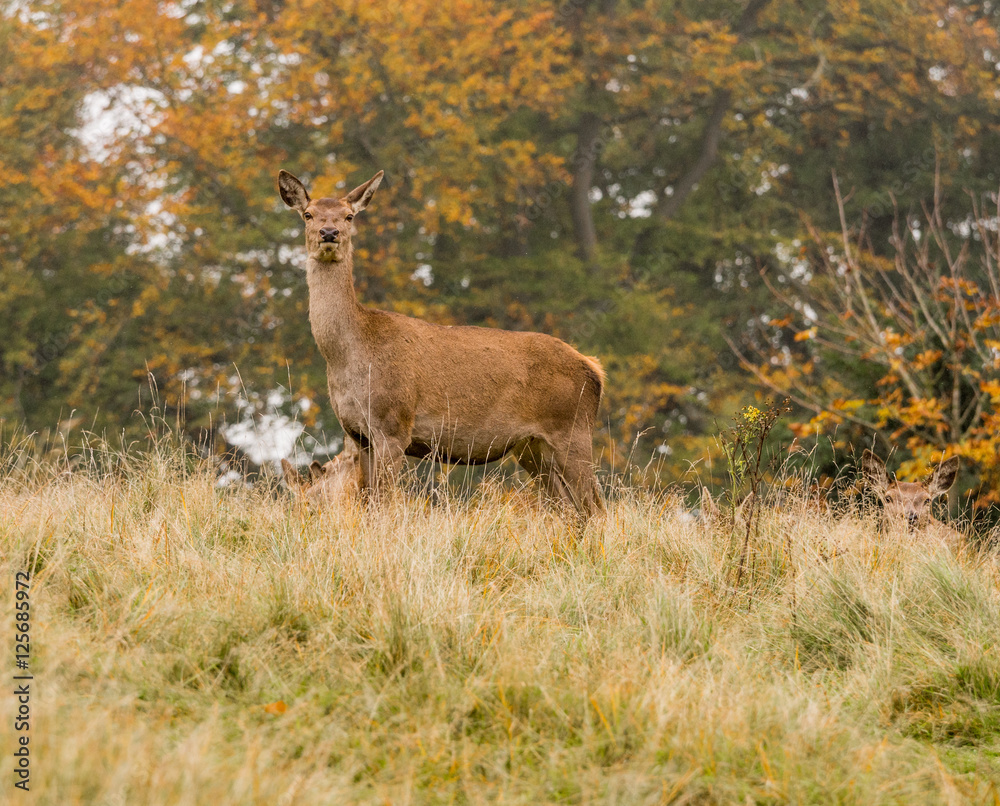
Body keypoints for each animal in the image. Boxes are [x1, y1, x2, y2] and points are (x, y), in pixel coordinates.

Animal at [277, 169, 606, 517]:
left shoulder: (394, 425)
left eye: (349, 215)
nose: (329, 232)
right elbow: (367, 503)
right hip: (532, 448)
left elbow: (382, 505)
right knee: (573, 510)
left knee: (597, 508)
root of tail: (594, 368)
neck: (347, 355)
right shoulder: (358, 434)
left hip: (573, 430)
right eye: (308, 214)